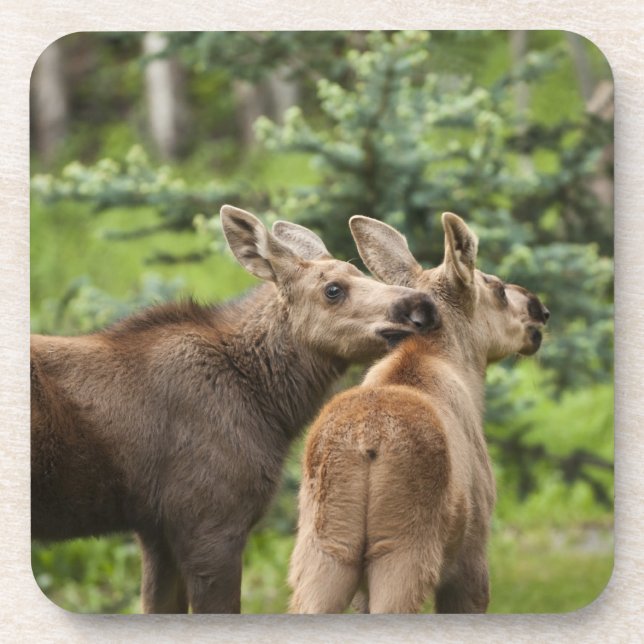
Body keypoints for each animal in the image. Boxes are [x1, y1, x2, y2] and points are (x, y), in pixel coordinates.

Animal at [31, 205, 440, 614]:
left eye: (361, 271)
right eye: (333, 289)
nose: (420, 306)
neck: (270, 407)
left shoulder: (156, 529)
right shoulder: (211, 519)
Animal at [288, 212, 550, 614]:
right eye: (499, 290)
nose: (540, 308)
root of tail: (366, 443)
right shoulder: (472, 554)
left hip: (324, 553)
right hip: (403, 552)